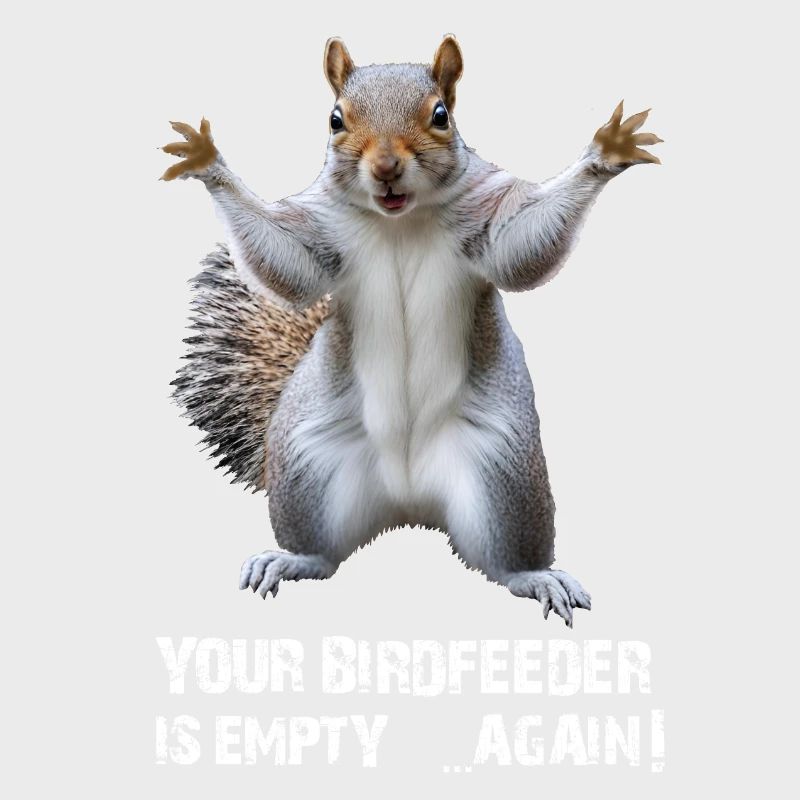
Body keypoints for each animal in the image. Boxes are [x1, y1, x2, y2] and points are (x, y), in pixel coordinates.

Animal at [163, 35, 661, 626]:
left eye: (441, 115)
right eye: (335, 119)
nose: (385, 167)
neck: (399, 219)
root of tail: (407, 500)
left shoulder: (488, 216)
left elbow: (521, 247)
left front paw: (608, 152)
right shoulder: (320, 230)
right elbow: (290, 263)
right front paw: (206, 162)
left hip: (505, 475)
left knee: (504, 559)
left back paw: (535, 575)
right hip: (307, 466)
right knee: (321, 552)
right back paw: (290, 559)